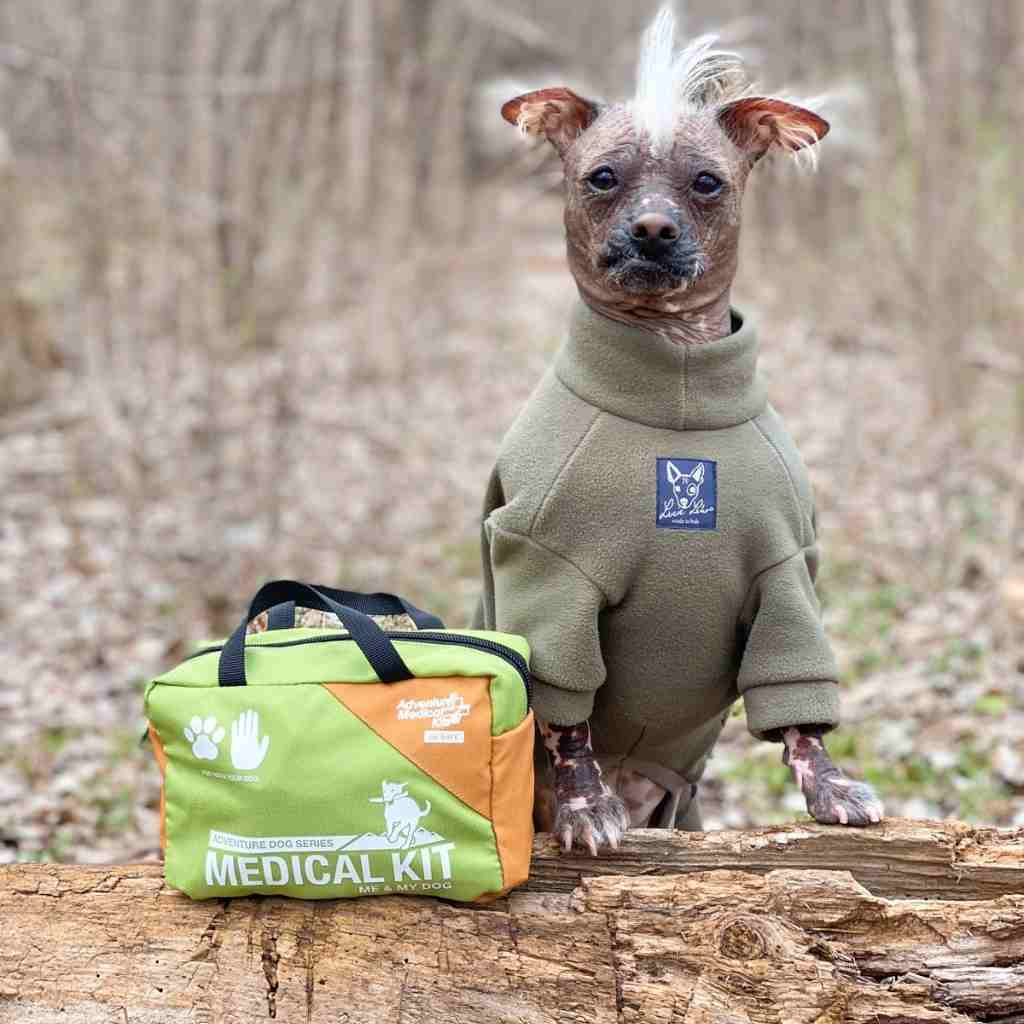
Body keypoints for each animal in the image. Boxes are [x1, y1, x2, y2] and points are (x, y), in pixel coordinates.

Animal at [471, 8, 880, 856]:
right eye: (602, 178)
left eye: (707, 182)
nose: (654, 228)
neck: (676, 381)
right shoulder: (551, 575)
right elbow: (567, 718)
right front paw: (584, 807)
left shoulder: (787, 577)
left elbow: (800, 711)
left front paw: (830, 788)